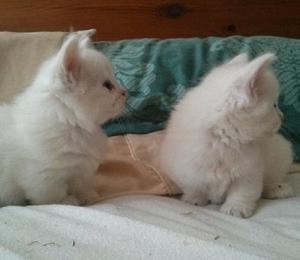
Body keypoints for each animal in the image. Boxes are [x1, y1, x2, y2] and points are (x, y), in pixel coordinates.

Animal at [0, 29, 126, 206]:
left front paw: (88, 196)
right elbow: (52, 196)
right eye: (108, 86)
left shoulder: (80, 168)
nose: (125, 93)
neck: (68, 122)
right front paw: (68, 201)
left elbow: (81, 185)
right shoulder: (44, 177)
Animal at [161, 52, 294, 217]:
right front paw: (194, 200)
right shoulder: (185, 169)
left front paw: (236, 208)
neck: (222, 141)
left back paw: (277, 188)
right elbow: (194, 186)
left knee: (273, 178)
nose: (282, 116)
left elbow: (243, 192)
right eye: (274, 106)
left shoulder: (250, 171)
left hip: (281, 154)